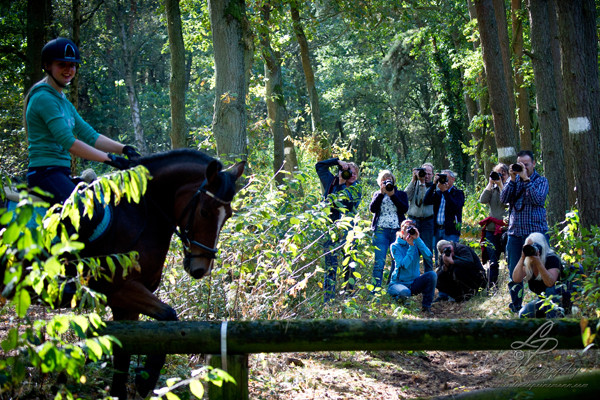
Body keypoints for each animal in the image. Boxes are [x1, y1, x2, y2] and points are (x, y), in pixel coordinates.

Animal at [4, 148, 244, 398]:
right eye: (204, 211)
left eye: (228, 215)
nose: (200, 268)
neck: (141, 213)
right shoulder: (120, 290)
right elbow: (169, 316)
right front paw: (146, 379)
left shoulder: (126, 306)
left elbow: (124, 354)